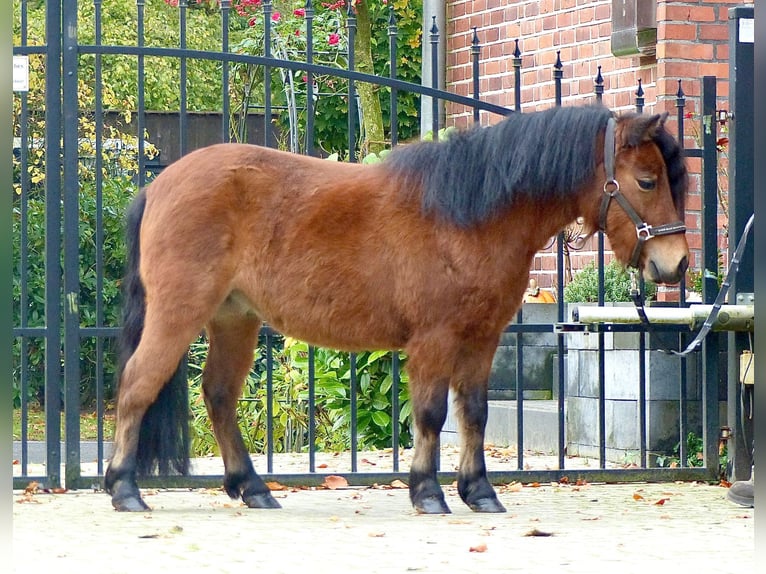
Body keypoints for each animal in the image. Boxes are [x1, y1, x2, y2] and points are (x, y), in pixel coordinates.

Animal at [103, 106, 688, 516]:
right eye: (646, 181)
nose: (676, 263)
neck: (470, 215)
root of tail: (158, 185)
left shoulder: (482, 338)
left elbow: (474, 413)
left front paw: (479, 492)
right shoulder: (435, 339)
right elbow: (429, 414)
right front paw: (428, 492)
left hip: (234, 319)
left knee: (219, 396)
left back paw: (253, 489)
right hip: (179, 313)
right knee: (137, 386)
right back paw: (125, 488)